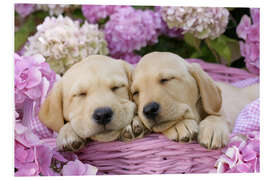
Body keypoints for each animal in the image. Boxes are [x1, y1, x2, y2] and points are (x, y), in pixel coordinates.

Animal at [131, 51, 260, 149]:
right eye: (135, 93)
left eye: (166, 79)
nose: (149, 110)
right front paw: (179, 125)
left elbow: (219, 116)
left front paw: (213, 128)